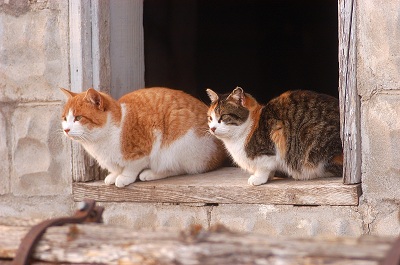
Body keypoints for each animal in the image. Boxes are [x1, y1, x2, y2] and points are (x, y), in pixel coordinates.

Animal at [61, 86, 227, 186]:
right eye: (64, 118)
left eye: (78, 118)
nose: (66, 130)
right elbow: (117, 169)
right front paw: (114, 175)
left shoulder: (143, 151)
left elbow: (131, 167)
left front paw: (124, 178)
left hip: (177, 146)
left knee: (179, 168)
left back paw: (151, 173)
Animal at [208, 87, 342, 186]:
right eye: (210, 118)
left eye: (223, 117)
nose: (212, 128)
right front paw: (270, 176)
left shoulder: (273, 141)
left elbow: (264, 167)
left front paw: (258, 178)